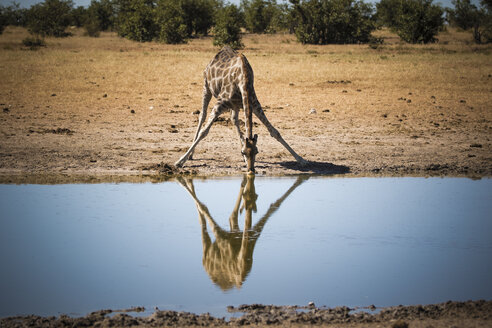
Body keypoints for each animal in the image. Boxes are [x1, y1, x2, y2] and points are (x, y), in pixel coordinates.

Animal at [175, 46, 308, 174]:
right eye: (244, 152)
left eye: (256, 151)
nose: (251, 170)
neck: (244, 80)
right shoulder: (220, 103)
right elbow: (204, 132)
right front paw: (180, 161)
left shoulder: (254, 104)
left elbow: (274, 131)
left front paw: (301, 159)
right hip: (206, 86)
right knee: (202, 115)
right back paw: (190, 155)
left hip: (236, 105)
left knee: (234, 120)